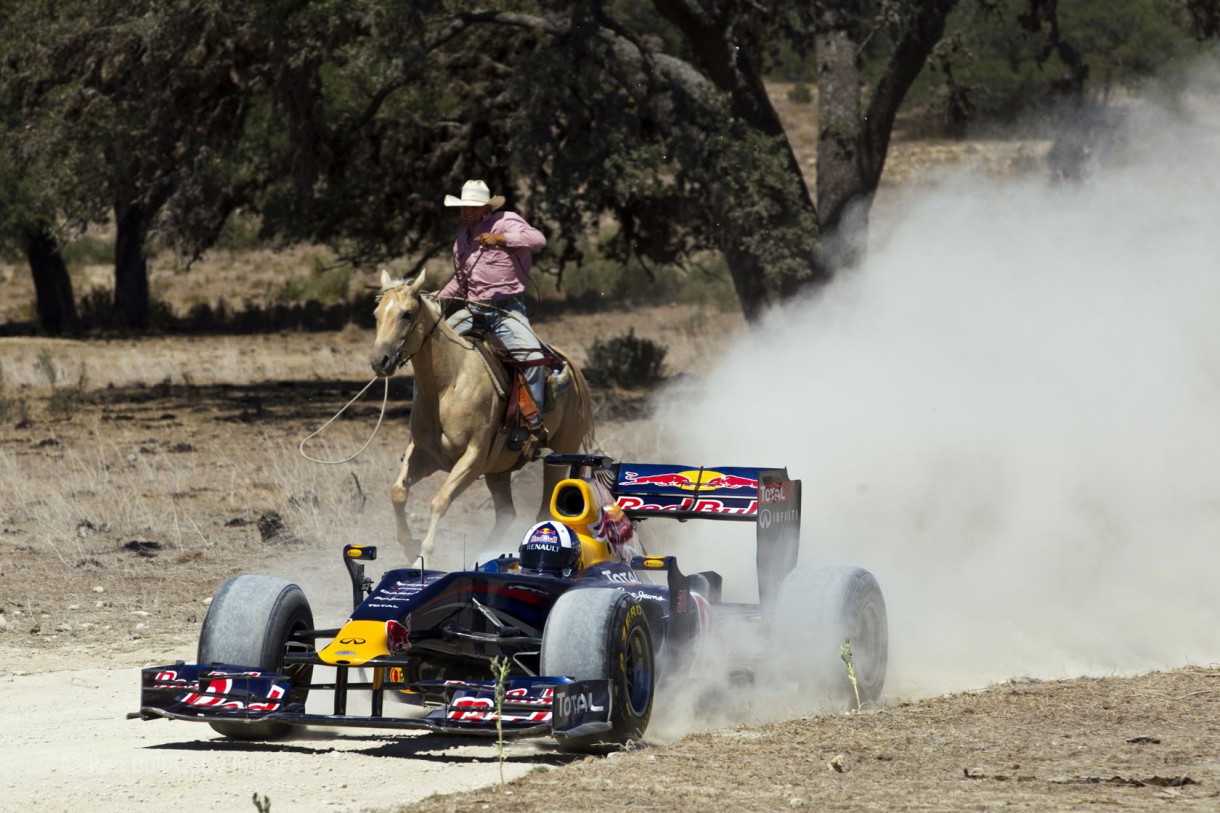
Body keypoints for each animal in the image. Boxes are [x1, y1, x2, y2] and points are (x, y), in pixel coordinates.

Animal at [366, 268, 595, 561]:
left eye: (407, 314)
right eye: (376, 314)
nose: (379, 361)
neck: (447, 385)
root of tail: (575, 372)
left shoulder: (472, 459)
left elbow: (440, 501)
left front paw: (423, 554)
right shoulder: (424, 455)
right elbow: (398, 492)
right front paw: (409, 544)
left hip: (560, 453)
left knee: (544, 509)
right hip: (499, 470)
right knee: (506, 514)